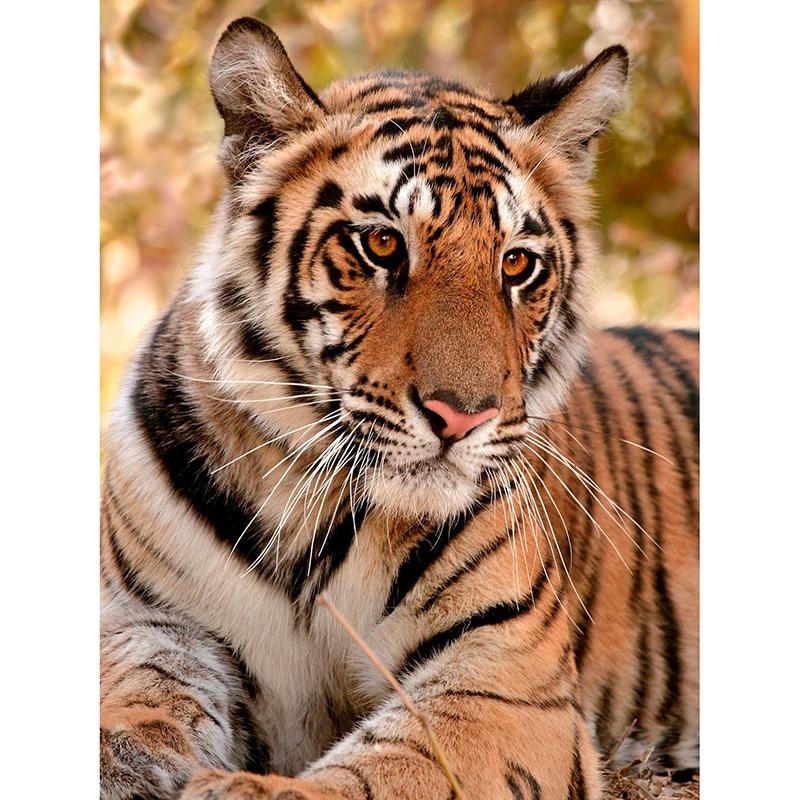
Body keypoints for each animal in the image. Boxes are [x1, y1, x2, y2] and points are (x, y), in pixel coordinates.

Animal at [100, 17, 699, 800]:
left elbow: (390, 765)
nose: (464, 417)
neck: (310, 510)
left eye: (517, 263)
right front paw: (121, 755)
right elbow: (142, 684)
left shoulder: (501, 679)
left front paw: (247, 791)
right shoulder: (149, 616)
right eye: (382, 243)